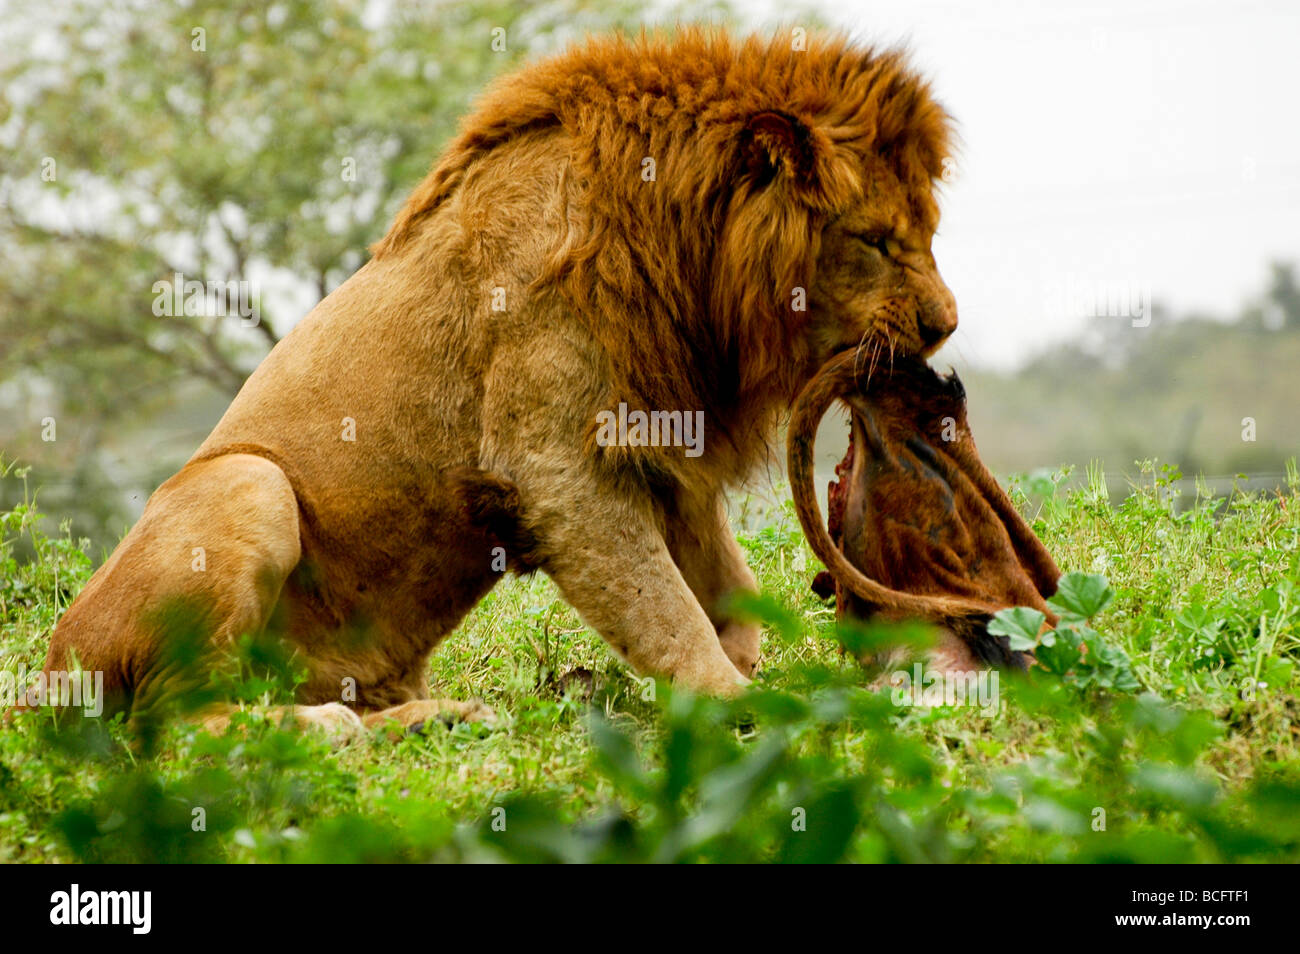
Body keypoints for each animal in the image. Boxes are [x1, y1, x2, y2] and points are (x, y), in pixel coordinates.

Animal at [25, 26, 961, 738]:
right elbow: (665, 609)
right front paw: (748, 706)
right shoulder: (559, 465)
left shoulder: (666, 439)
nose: (946, 324)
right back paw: (326, 729)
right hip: (246, 483)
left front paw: (754, 665)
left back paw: (434, 717)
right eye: (874, 240)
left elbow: (727, 586)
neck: (683, 246)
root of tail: (49, 674)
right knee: (178, 722)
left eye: (926, 231)